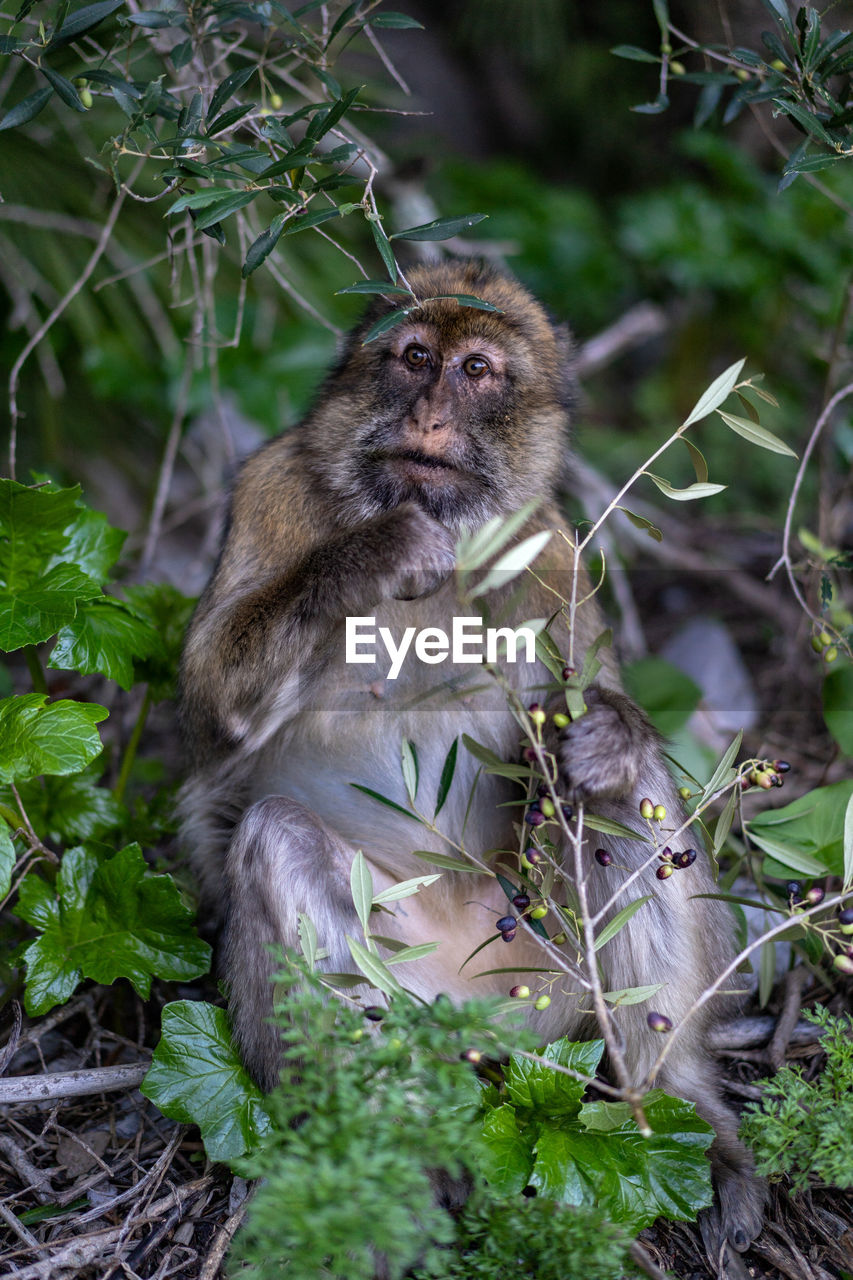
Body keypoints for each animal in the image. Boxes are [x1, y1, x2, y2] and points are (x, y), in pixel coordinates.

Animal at [179, 257, 763, 1249]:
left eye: (477, 371)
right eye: (416, 358)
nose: (429, 417)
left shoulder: (549, 550)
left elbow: (592, 721)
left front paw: (603, 735)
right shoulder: (268, 486)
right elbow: (213, 701)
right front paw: (378, 548)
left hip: (553, 991)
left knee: (617, 804)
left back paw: (676, 1106)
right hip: (413, 994)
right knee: (274, 840)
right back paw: (395, 1152)